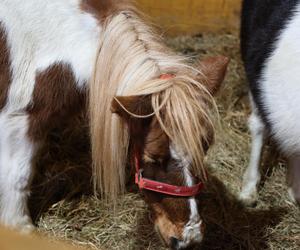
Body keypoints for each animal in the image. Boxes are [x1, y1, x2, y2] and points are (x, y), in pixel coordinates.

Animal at [0, 0, 227, 249]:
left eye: (204, 148)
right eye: (153, 158)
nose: (189, 238)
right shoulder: (18, 120)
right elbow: (18, 177)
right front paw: (20, 229)